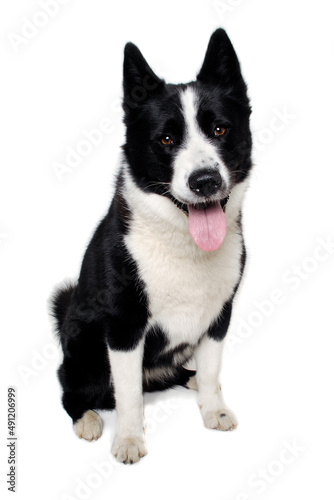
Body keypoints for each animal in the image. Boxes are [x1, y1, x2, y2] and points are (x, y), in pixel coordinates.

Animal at [51, 28, 252, 464]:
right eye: (166, 139)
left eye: (220, 130)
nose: (206, 181)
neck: (183, 246)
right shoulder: (124, 325)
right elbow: (128, 394)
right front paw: (128, 439)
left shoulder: (220, 313)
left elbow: (212, 369)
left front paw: (213, 409)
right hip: (85, 345)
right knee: (71, 387)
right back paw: (87, 419)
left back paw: (189, 381)